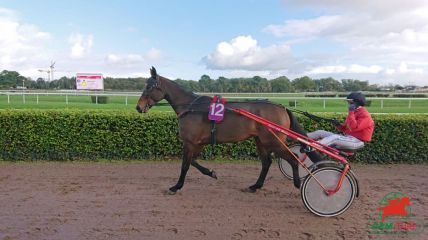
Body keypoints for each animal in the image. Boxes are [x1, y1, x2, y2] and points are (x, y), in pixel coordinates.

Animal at [137, 66, 318, 194]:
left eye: (150, 87)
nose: (138, 107)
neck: (191, 108)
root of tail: (282, 107)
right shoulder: (198, 143)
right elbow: (193, 162)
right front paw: (211, 172)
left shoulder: (189, 142)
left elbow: (185, 165)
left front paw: (176, 186)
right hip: (261, 141)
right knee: (266, 163)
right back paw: (255, 186)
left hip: (274, 141)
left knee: (294, 158)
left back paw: (297, 183)